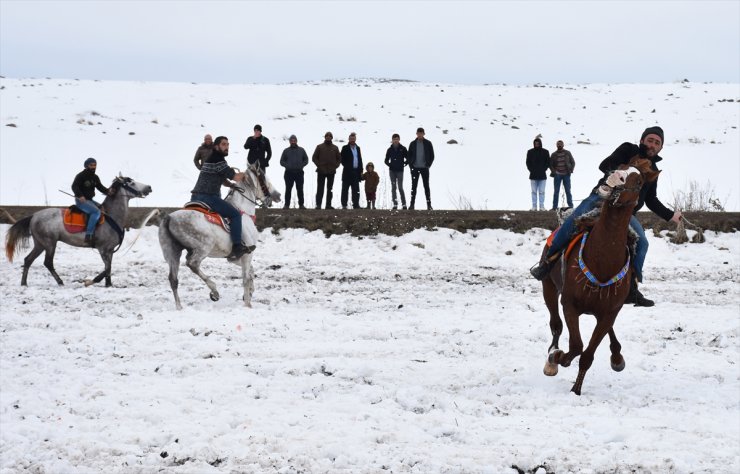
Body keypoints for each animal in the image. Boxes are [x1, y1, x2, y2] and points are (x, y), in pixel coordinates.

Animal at [5, 174, 153, 286]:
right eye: (131, 183)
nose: (149, 187)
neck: (112, 216)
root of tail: (34, 216)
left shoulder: (110, 250)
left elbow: (109, 268)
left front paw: (108, 284)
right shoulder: (103, 249)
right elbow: (107, 268)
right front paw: (92, 281)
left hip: (40, 244)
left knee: (28, 260)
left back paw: (24, 283)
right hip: (49, 243)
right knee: (48, 263)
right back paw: (60, 282)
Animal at [159, 165, 280, 310]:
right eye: (263, 178)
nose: (278, 195)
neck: (244, 212)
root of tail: (169, 218)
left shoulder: (235, 257)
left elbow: (251, 272)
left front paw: (249, 293)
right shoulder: (247, 254)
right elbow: (246, 278)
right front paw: (247, 304)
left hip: (172, 252)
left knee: (173, 279)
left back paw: (179, 307)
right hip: (203, 247)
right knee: (192, 263)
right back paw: (214, 291)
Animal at [536, 160, 660, 396]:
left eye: (639, 181)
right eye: (619, 165)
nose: (612, 179)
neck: (602, 259)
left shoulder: (610, 311)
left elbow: (587, 355)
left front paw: (576, 390)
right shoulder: (569, 304)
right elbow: (576, 345)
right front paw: (557, 358)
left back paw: (617, 356)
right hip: (549, 287)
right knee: (555, 324)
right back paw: (552, 357)